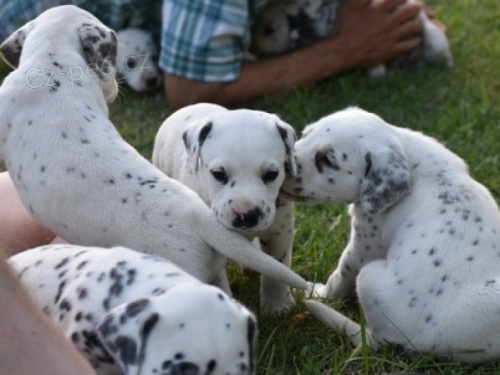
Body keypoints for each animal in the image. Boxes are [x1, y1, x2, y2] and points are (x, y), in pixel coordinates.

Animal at [152, 102, 298, 314]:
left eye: (272, 174)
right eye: (219, 174)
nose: (246, 216)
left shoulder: (280, 229)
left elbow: (278, 265)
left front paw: (277, 304)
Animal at [284, 108, 500, 364]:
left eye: (327, 160)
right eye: (304, 134)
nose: (282, 165)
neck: (407, 152)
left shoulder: (363, 246)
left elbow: (339, 275)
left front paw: (317, 293)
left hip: (367, 277)